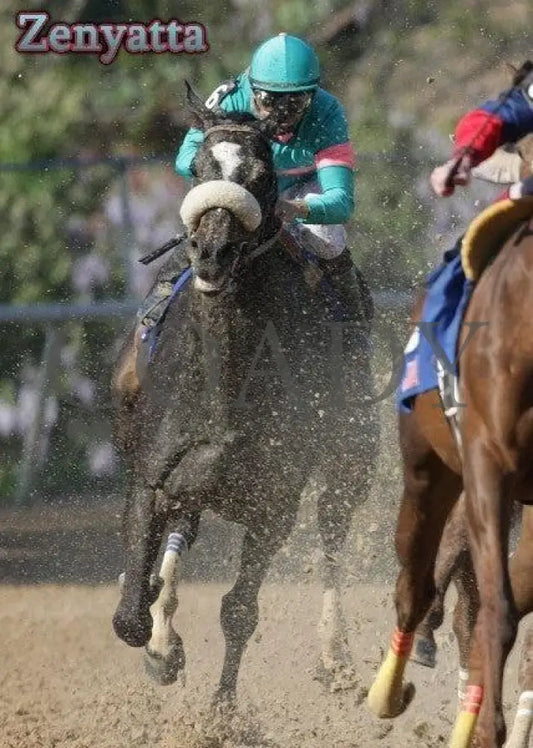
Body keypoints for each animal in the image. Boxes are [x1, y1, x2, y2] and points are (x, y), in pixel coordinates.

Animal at [111, 84, 378, 702]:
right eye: (199, 168)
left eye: (262, 177)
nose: (210, 254)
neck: (225, 384)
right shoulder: (151, 472)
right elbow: (129, 613)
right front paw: (159, 640)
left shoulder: (273, 502)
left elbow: (239, 610)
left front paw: (224, 710)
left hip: (350, 459)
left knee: (332, 538)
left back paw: (336, 657)